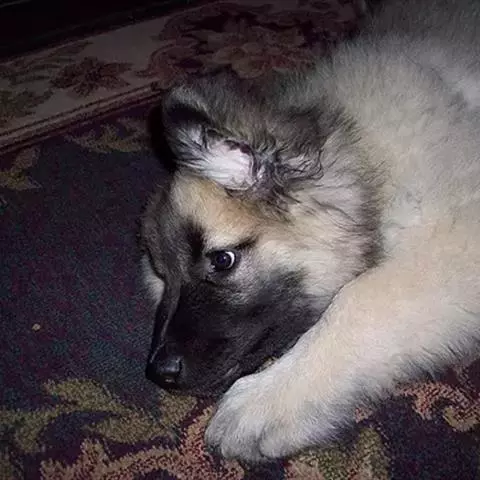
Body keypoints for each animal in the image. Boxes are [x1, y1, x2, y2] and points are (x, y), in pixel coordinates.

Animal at [140, 0, 480, 461]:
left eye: (222, 260)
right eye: (163, 276)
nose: (160, 372)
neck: (364, 158)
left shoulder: (454, 241)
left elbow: (360, 300)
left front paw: (266, 400)